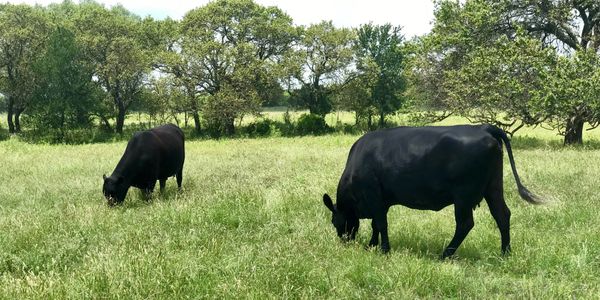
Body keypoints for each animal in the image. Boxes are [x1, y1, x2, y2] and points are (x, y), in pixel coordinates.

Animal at [326, 124, 540, 258]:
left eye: (335, 221)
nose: (344, 242)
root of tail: (483, 127)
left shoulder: (374, 196)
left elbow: (380, 224)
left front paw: (383, 250)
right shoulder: (381, 201)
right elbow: (376, 226)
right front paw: (372, 245)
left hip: (463, 196)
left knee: (465, 224)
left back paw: (445, 254)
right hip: (493, 187)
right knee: (502, 215)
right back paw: (505, 253)